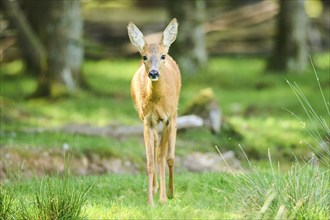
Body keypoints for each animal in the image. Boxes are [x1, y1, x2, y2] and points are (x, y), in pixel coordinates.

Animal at [128, 18, 180, 206]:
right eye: (144, 57)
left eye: (162, 56)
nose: (153, 73)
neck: (157, 101)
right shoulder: (147, 120)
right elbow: (150, 162)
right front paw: (150, 201)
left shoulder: (167, 118)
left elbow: (164, 157)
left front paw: (164, 198)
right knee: (157, 148)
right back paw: (156, 188)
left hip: (175, 115)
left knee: (169, 156)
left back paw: (170, 192)